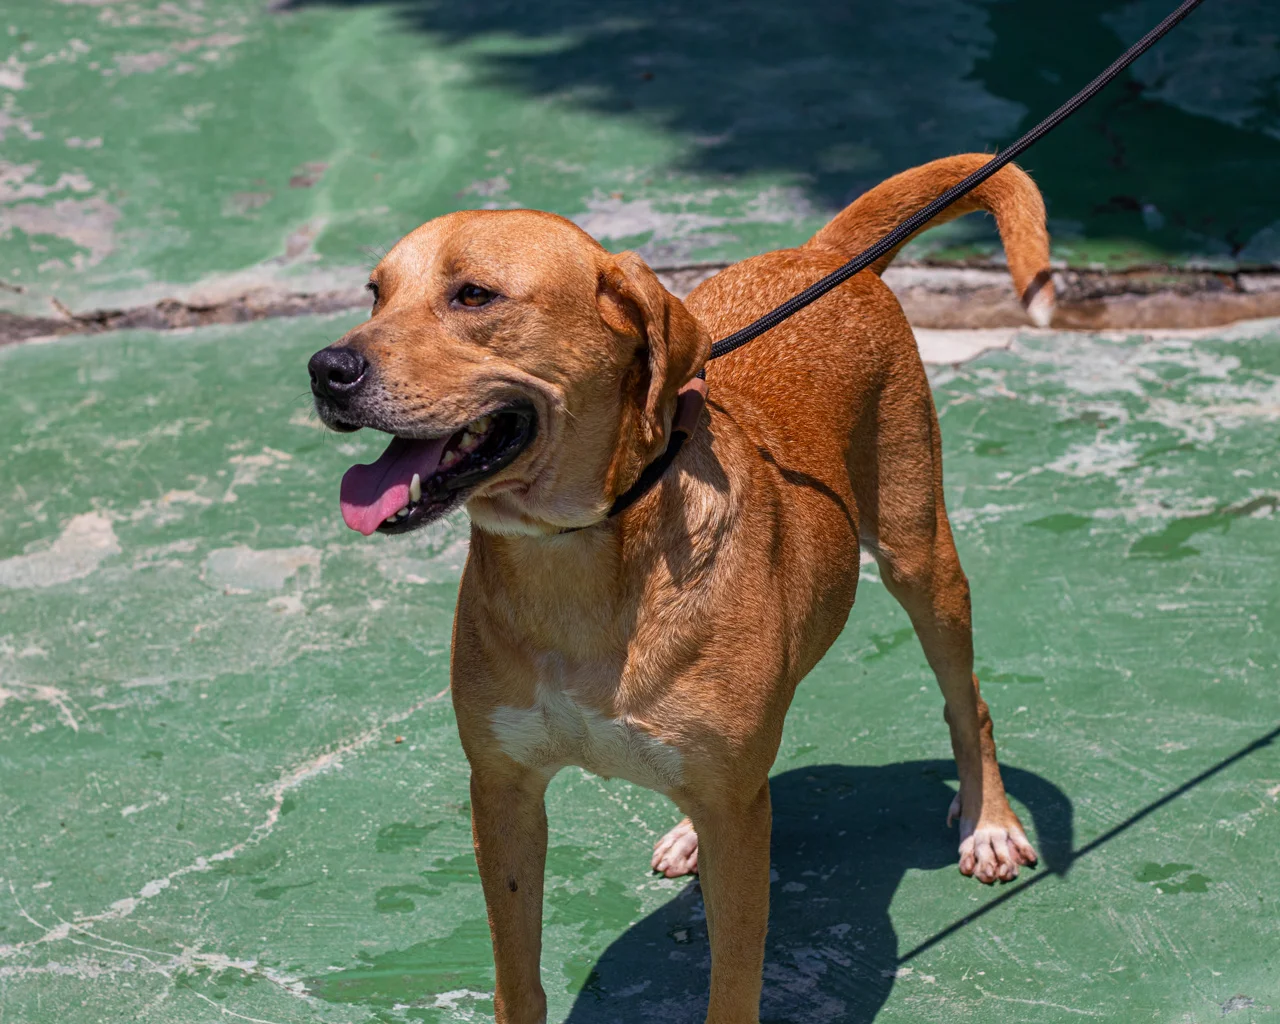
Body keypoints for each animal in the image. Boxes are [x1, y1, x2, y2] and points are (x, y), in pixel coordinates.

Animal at [308, 153, 1051, 1023]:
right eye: (375, 293)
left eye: (474, 296)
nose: (327, 369)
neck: (577, 558)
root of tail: (818, 256)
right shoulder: (503, 793)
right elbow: (516, 974)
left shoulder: (735, 821)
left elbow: (732, 982)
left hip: (921, 559)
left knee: (968, 701)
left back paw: (989, 822)